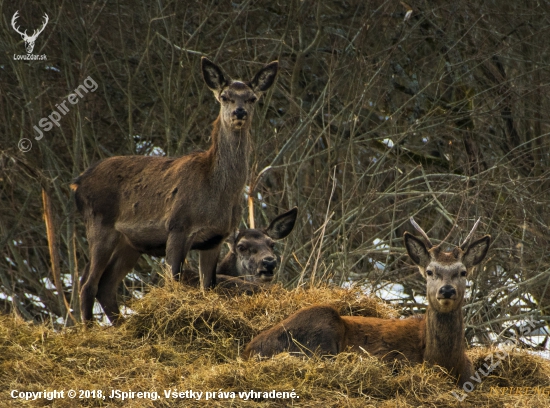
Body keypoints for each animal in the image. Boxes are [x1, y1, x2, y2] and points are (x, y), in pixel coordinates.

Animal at [72, 58, 280, 326]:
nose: (240, 112)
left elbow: (208, 286)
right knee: (88, 283)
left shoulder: (215, 237)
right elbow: (173, 279)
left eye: (252, 98)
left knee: (106, 285)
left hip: (130, 243)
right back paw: (89, 329)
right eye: (225, 96)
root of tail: (78, 183)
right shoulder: (177, 225)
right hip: (100, 224)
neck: (216, 192)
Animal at [244, 217, 494, 386]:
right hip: (322, 326)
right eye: (430, 271)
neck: (445, 361)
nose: (447, 290)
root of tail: (250, 348)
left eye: (463, 272)